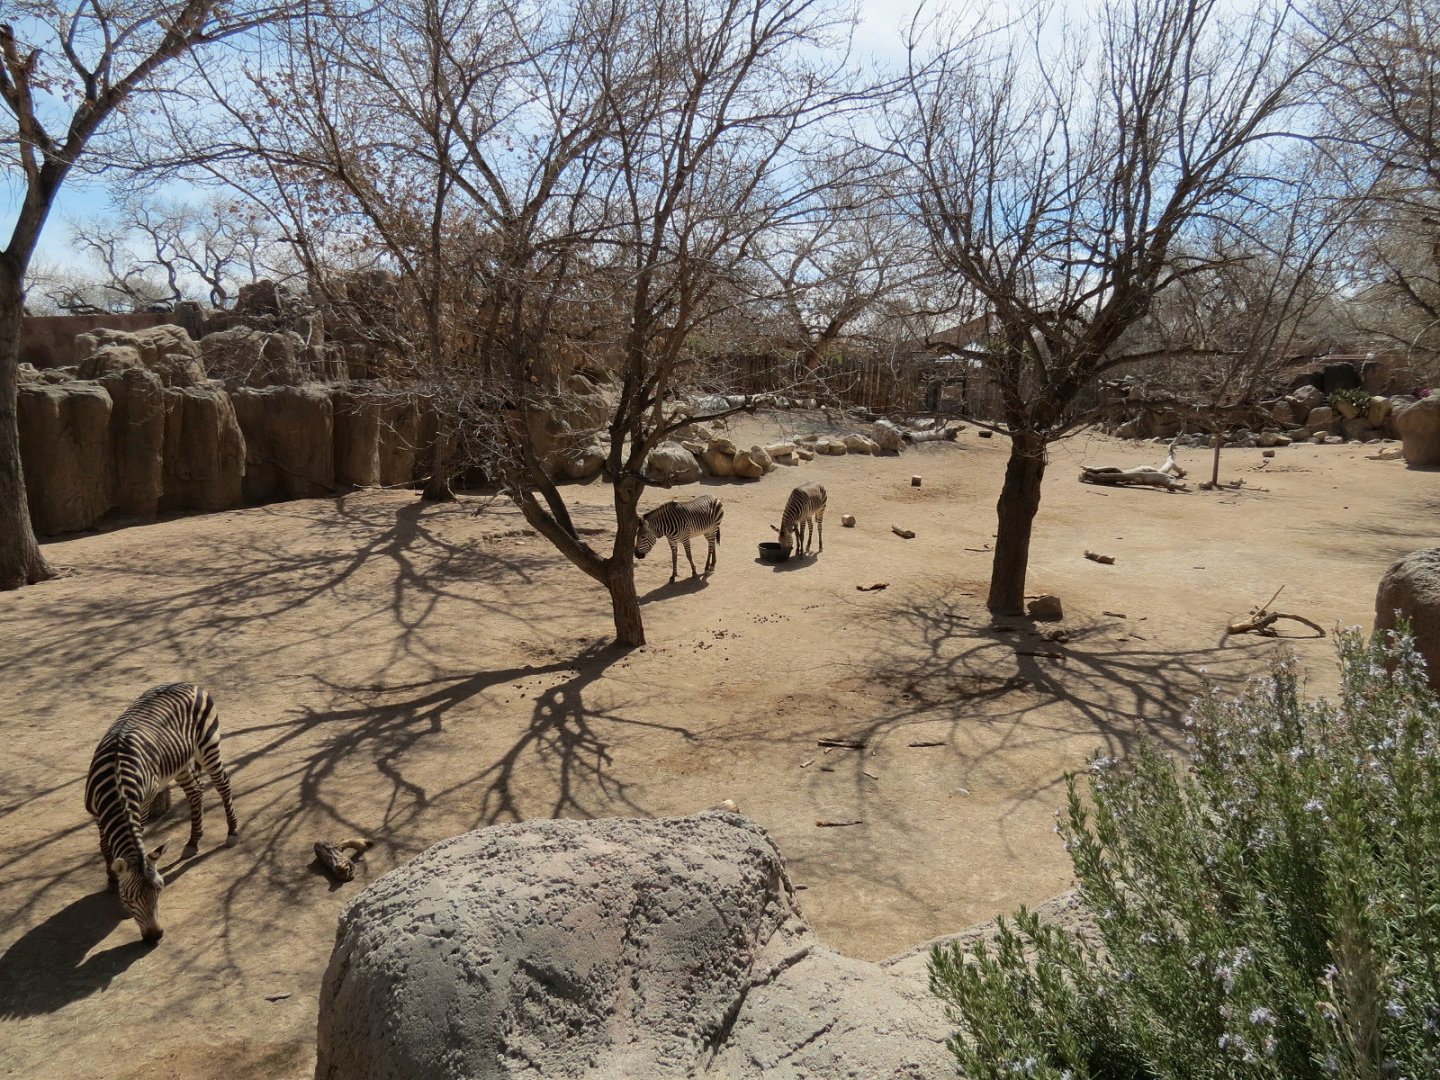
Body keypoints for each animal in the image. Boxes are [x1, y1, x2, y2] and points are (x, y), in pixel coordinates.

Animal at [84, 683, 240, 943]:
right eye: (130, 898)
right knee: (195, 792)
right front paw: (110, 878)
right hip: (182, 762)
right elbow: (104, 846)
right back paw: (193, 841)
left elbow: (139, 833)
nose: (155, 936)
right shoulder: (97, 815)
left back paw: (233, 832)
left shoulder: (144, 803)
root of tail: (187, 683)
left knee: (223, 785)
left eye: (160, 890)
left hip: (208, 745)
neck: (116, 783)